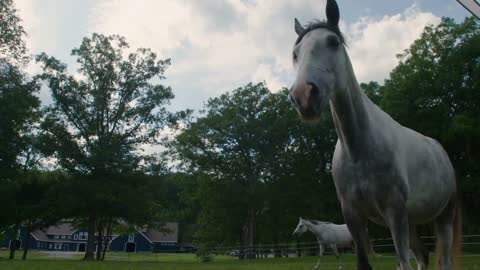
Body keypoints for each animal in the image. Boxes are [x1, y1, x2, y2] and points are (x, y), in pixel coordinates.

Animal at [288, 2, 462, 270]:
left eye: (333, 42)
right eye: (295, 53)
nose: (303, 96)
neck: (358, 149)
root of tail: (442, 152)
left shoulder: (395, 211)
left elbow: (403, 263)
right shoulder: (353, 216)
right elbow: (364, 262)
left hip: (442, 218)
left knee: (442, 260)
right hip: (411, 222)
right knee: (422, 255)